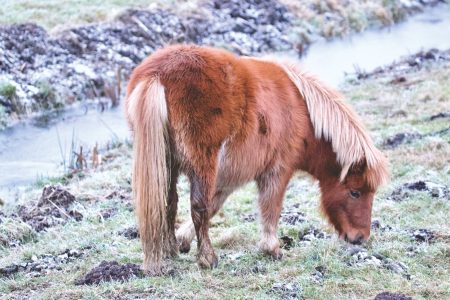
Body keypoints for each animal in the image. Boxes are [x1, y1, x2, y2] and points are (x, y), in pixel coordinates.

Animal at [125, 44, 388, 274]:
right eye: (355, 192)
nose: (360, 238)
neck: (303, 113)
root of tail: (157, 75)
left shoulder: (229, 176)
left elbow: (215, 204)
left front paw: (182, 240)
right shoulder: (277, 171)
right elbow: (269, 206)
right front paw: (272, 249)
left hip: (167, 165)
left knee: (169, 203)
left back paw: (170, 250)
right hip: (202, 164)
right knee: (197, 207)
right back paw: (208, 259)